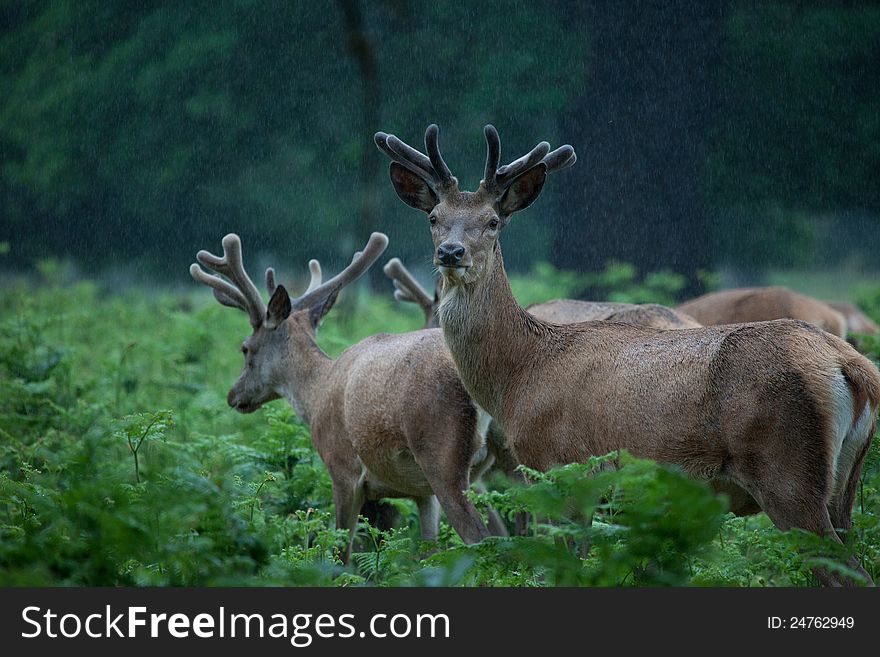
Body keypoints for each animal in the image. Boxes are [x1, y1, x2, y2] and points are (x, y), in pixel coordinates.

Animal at [191, 229, 508, 560]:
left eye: (245, 348)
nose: (232, 395)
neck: (316, 393)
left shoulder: (342, 467)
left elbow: (341, 552)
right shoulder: (422, 493)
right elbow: (428, 553)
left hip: (442, 454)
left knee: (485, 538)